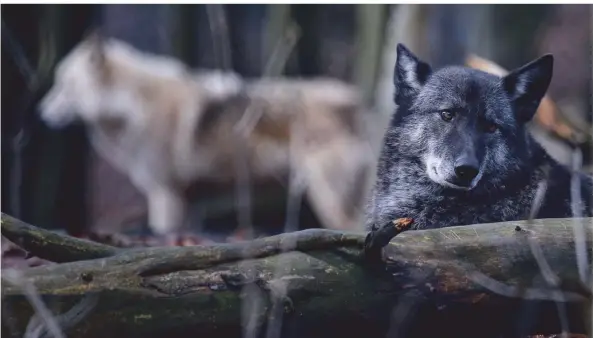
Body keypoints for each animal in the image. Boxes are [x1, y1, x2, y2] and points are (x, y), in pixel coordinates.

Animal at [38, 32, 374, 238]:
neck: (132, 106)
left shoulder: (165, 195)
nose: (41, 112)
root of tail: (357, 101)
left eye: (64, 86)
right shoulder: (188, 201)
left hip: (329, 198)